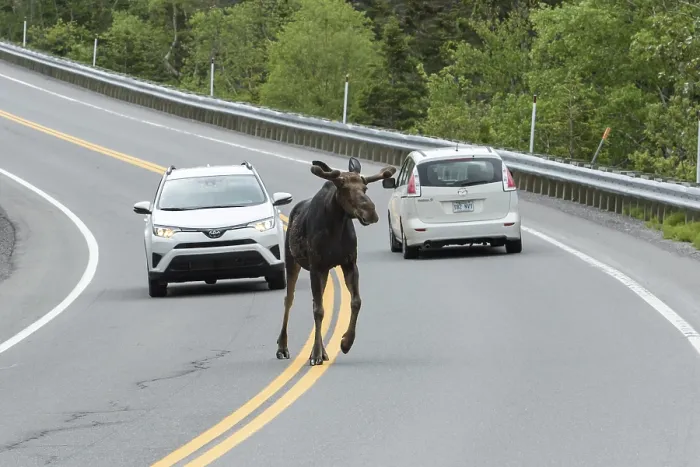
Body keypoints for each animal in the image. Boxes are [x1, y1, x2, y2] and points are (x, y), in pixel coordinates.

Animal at [275, 156, 397, 366]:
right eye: (344, 189)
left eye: (365, 188)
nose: (370, 212)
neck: (336, 225)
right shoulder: (316, 267)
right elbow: (318, 310)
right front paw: (315, 354)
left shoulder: (349, 263)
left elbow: (356, 301)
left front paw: (346, 343)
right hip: (293, 261)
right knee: (289, 300)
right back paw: (283, 347)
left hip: (324, 272)